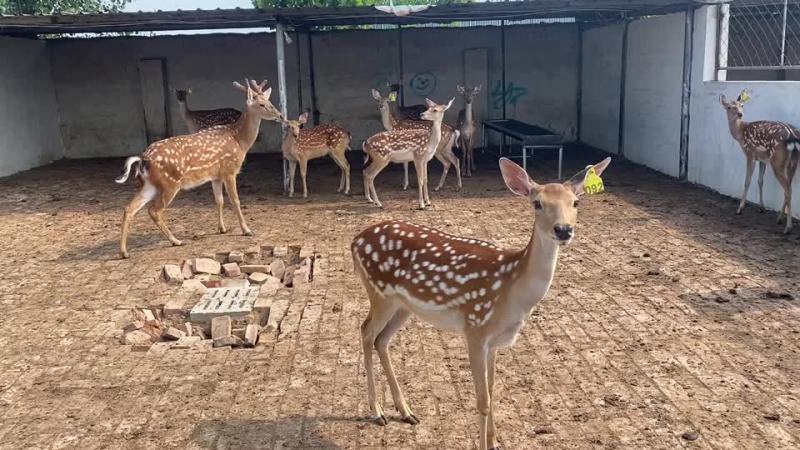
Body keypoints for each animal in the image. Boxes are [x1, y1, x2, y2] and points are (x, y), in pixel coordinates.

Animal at [115, 79, 283, 258]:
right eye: (261, 104)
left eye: (270, 102)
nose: (280, 116)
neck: (239, 140)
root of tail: (143, 159)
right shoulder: (229, 170)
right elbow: (235, 200)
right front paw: (247, 230)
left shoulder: (215, 176)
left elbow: (219, 200)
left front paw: (222, 229)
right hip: (170, 183)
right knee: (154, 210)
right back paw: (176, 241)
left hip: (150, 185)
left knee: (129, 208)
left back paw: (124, 252)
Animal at [352, 156, 612, 450]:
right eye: (537, 203)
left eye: (576, 202)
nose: (564, 230)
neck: (511, 291)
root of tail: (355, 242)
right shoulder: (474, 328)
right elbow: (482, 400)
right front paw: (485, 443)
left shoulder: (495, 341)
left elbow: (492, 389)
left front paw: (495, 440)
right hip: (379, 293)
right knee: (365, 331)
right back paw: (377, 412)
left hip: (403, 306)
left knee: (381, 340)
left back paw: (405, 411)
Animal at [720, 90, 800, 234]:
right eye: (729, 107)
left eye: (742, 105)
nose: (740, 114)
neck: (740, 135)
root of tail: (792, 135)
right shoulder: (762, 159)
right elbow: (760, 181)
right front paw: (761, 207)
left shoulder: (750, 153)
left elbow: (747, 181)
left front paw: (740, 209)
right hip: (793, 162)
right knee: (789, 188)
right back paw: (779, 219)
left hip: (777, 161)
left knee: (788, 189)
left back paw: (788, 227)